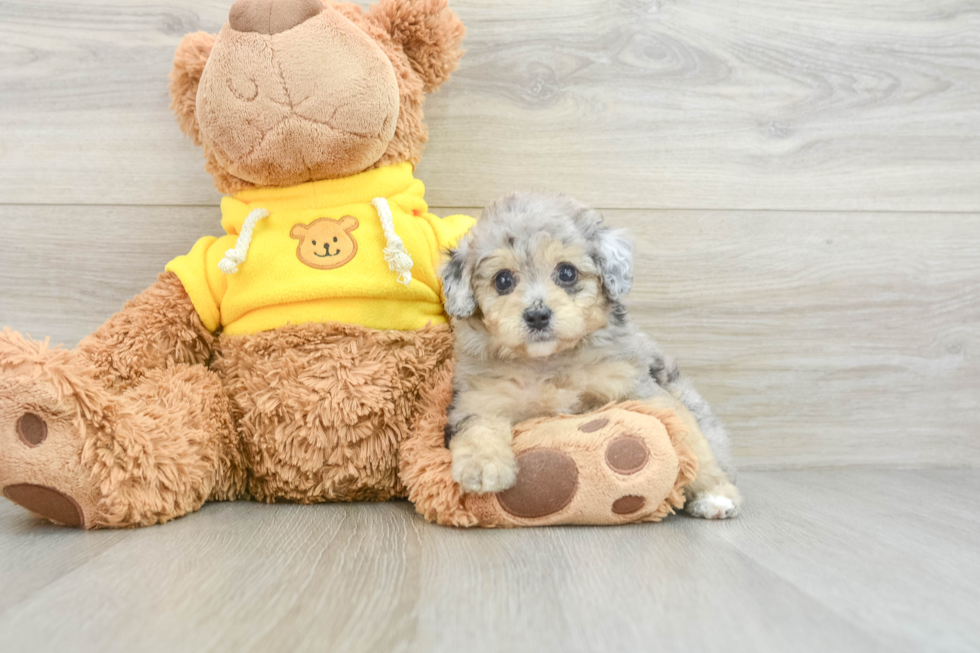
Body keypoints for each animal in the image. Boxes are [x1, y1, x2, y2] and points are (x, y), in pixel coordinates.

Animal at [440, 191, 740, 516]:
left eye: (567, 273)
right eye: (503, 280)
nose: (537, 316)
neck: (548, 362)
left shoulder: (638, 388)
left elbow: (691, 441)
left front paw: (715, 492)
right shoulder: (481, 398)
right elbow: (478, 427)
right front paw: (483, 469)